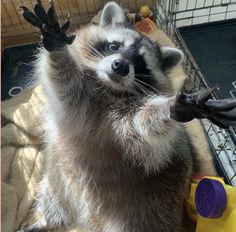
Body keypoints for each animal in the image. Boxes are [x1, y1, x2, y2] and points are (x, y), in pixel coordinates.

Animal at [18, 0, 236, 232]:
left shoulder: (129, 133)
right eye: (114, 46)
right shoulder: (79, 103)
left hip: (153, 207)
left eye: (140, 63)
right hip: (57, 183)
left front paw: (168, 108)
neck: (110, 88)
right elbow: (64, 81)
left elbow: (143, 124)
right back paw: (46, 220)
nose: (121, 66)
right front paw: (58, 48)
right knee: (55, 201)